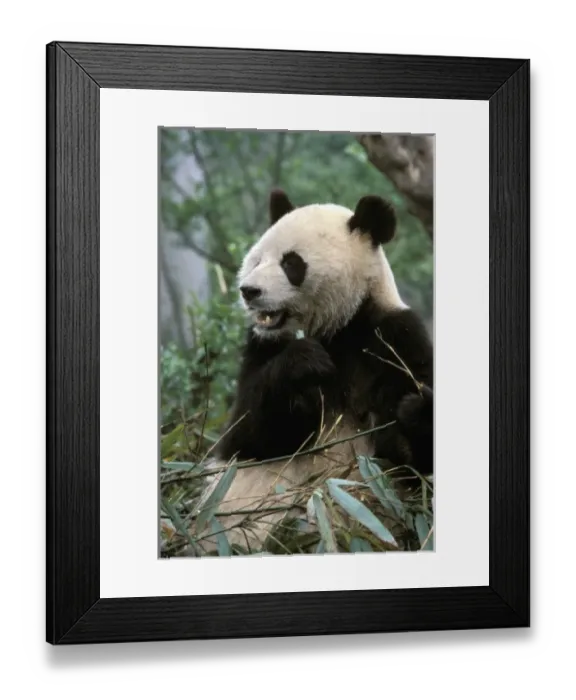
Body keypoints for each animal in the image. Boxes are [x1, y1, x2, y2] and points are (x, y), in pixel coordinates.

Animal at [194, 189, 433, 554]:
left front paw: (415, 409)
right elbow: (245, 437)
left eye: (291, 263)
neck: (339, 327)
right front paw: (303, 362)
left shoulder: (396, 338)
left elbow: (412, 465)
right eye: (257, 260)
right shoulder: (261, 346)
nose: (249, 291)